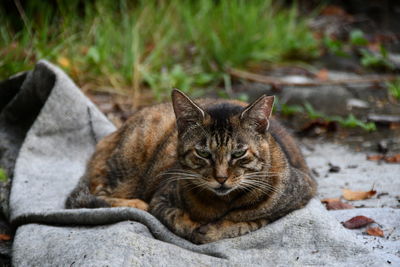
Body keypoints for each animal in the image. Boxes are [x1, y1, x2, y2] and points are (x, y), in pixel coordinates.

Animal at [66, 89, 316, 245]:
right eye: (203, 153)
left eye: (238, 154)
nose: (221, 178)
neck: (221, 203)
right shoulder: (161, 197)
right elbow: (176, 219)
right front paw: (196, 227)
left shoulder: (303, 193)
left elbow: (249, 221)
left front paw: (214, 228)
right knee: (83, 198)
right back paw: (136, 204)